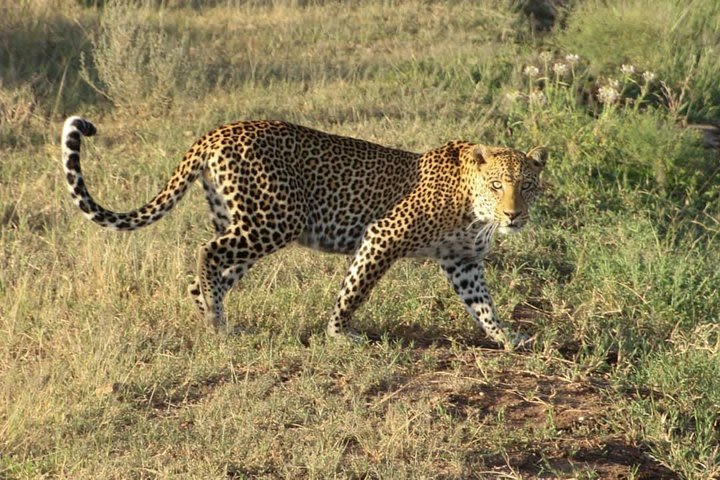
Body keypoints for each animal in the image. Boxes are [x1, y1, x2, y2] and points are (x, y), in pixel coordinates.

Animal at [62, 116, 544, 348]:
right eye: (497, 184)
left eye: (528, 185)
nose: (514, 215)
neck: (475, 211)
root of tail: (216, 132)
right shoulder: (382, 234)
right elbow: (354, 290)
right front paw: (339, 334)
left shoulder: (463, 263)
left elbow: (483, 306)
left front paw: (507, 339)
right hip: (275, 219)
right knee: (207, 252)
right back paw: (217, 322)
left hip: (242, 220)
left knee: (208, 272)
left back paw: (213, 318)